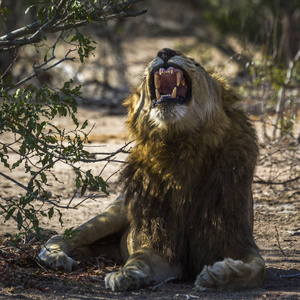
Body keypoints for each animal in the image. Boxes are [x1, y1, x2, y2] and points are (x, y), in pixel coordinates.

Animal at [39, 48, 264, 290]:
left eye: (197, 63)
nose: (165, 51)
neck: (183, 146)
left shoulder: (237, 239)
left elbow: (258, 268)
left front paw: (218, 274)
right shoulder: (160, 242)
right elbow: (140, 256)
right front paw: (125, 274)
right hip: (112, 214)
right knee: (64, 236)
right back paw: (55, 257)